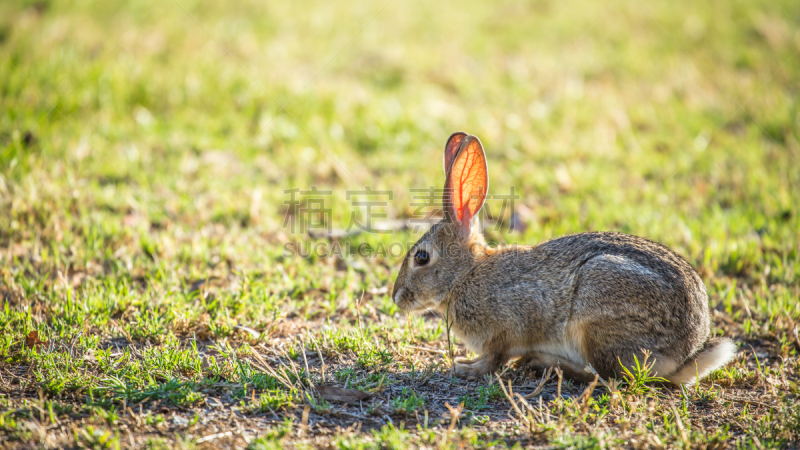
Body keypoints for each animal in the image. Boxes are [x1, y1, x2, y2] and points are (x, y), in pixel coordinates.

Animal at [390, 132, 736, 384]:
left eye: (422, 257)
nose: (396, 297)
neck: (465, 275)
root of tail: (686, 354)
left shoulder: (506, 326)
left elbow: (493, 359)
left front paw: (465, 367)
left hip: (595, 316)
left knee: (610, 379)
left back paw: (549, 365)